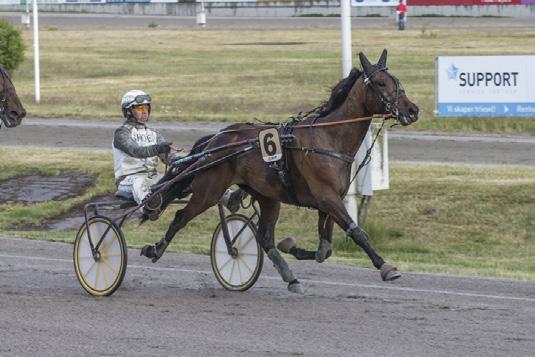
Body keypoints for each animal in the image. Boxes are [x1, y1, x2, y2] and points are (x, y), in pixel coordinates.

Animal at [141, 50, 418, 294]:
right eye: (381, 83)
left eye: (397, 81)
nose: (413, 110)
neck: (328, 138)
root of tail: (215, 139)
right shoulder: (327, 197)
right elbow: (356, 232)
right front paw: (386, 267)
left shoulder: (328, 201)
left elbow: (324, 250)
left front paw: (291, 246)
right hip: (209, 190)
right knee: (180, 217)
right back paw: (155, 249)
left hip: (267, 197)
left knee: (265, 239)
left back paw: (290, 277)